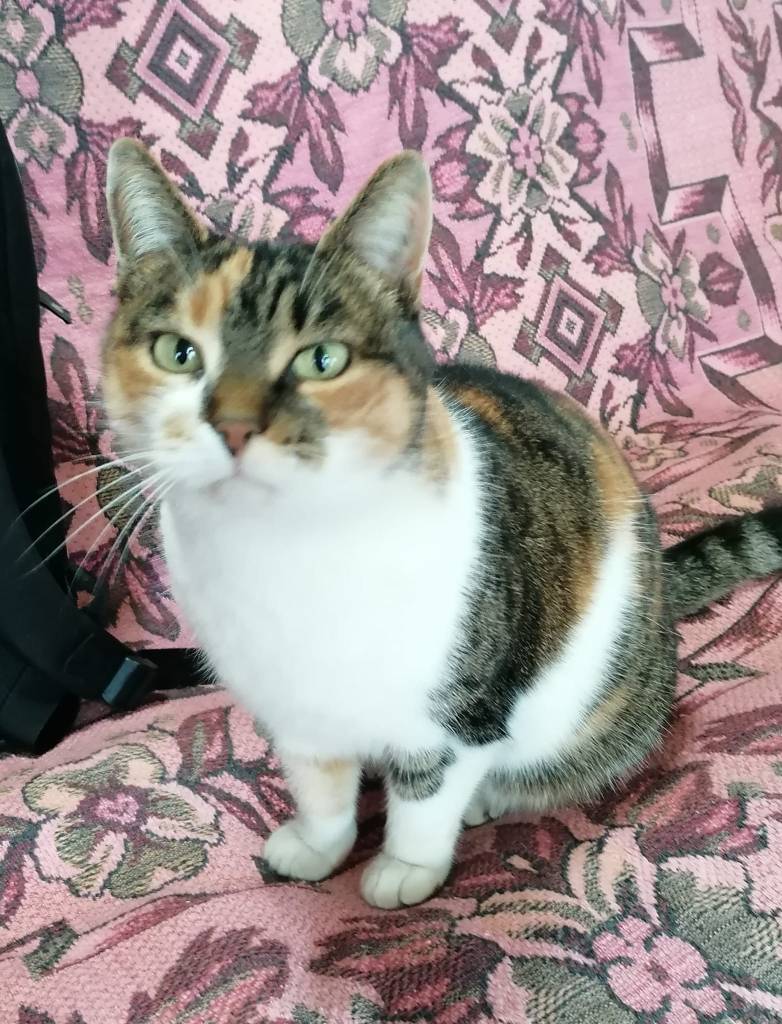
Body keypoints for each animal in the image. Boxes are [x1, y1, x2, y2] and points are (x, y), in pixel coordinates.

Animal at [103, 138, 782, 909]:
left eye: (322, 359)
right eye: (177, 352)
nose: (236, 425)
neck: (286, 551)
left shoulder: (463, 705)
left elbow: (428, 787)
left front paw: (406, 866)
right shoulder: (292, 707)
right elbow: (318, 784)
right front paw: (318, 844)